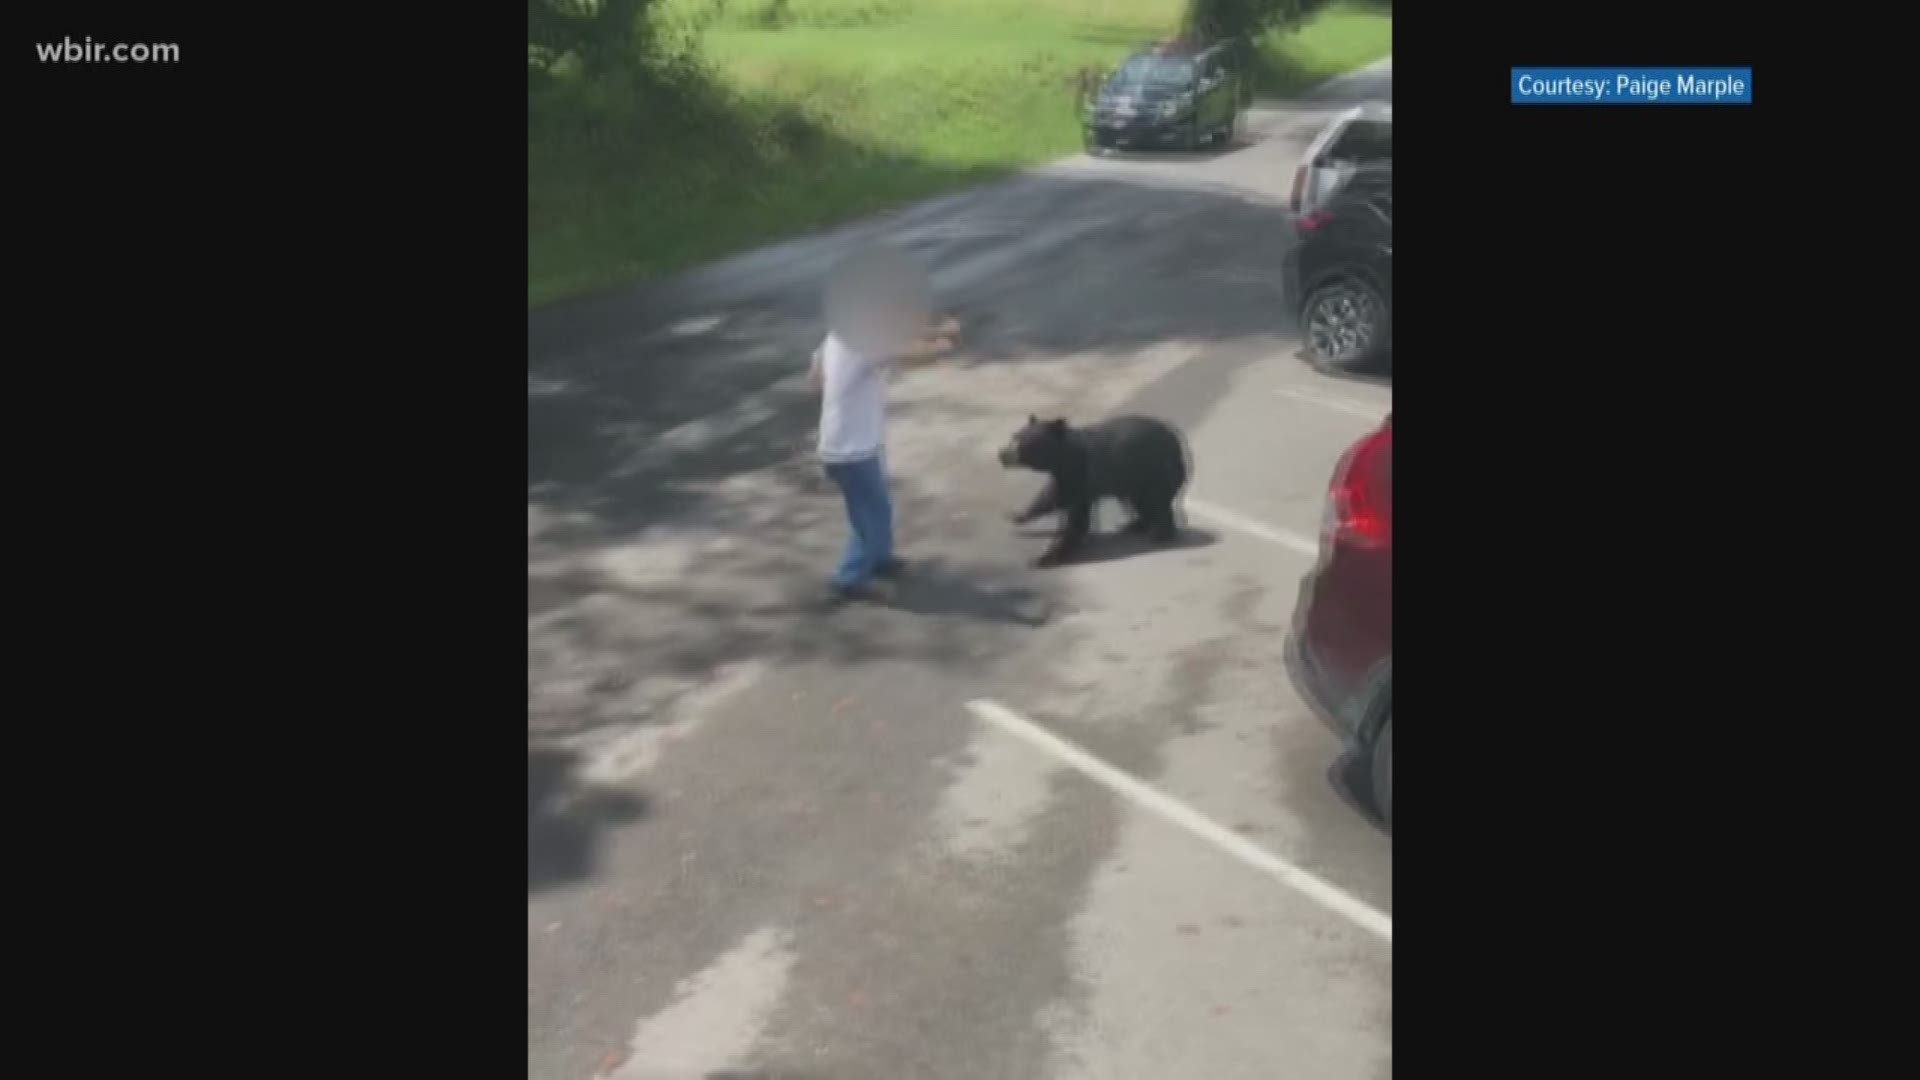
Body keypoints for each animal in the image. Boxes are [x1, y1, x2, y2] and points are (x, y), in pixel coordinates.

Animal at [1006, 411, 1182, 568]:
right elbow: (1052, 496)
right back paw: (1135, 525)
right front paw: (1017, 515)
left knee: (1156, 502)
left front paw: (1044, 558)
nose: (1003, 454)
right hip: (1138, 480)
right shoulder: (1066, 479)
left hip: (1155, 471)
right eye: (1015, 436)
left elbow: (1074, 517)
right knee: (1141, 503)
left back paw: (1158, 533)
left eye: (1025, 442)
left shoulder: (1081, 474)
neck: (1064, 459)